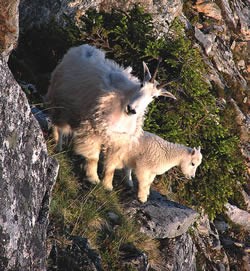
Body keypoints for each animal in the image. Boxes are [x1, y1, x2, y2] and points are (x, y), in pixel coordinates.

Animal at [46, 45, 176, 185]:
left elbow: (111, 166)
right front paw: (93, 178)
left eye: (154, 97)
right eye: (141, 84)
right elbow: (93, 157)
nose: (131, 109)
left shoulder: (118, 139)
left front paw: (107, 185)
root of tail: (82, 47)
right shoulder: (94, 128)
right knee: (59, 125)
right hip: (60, 101)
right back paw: (57, 144)